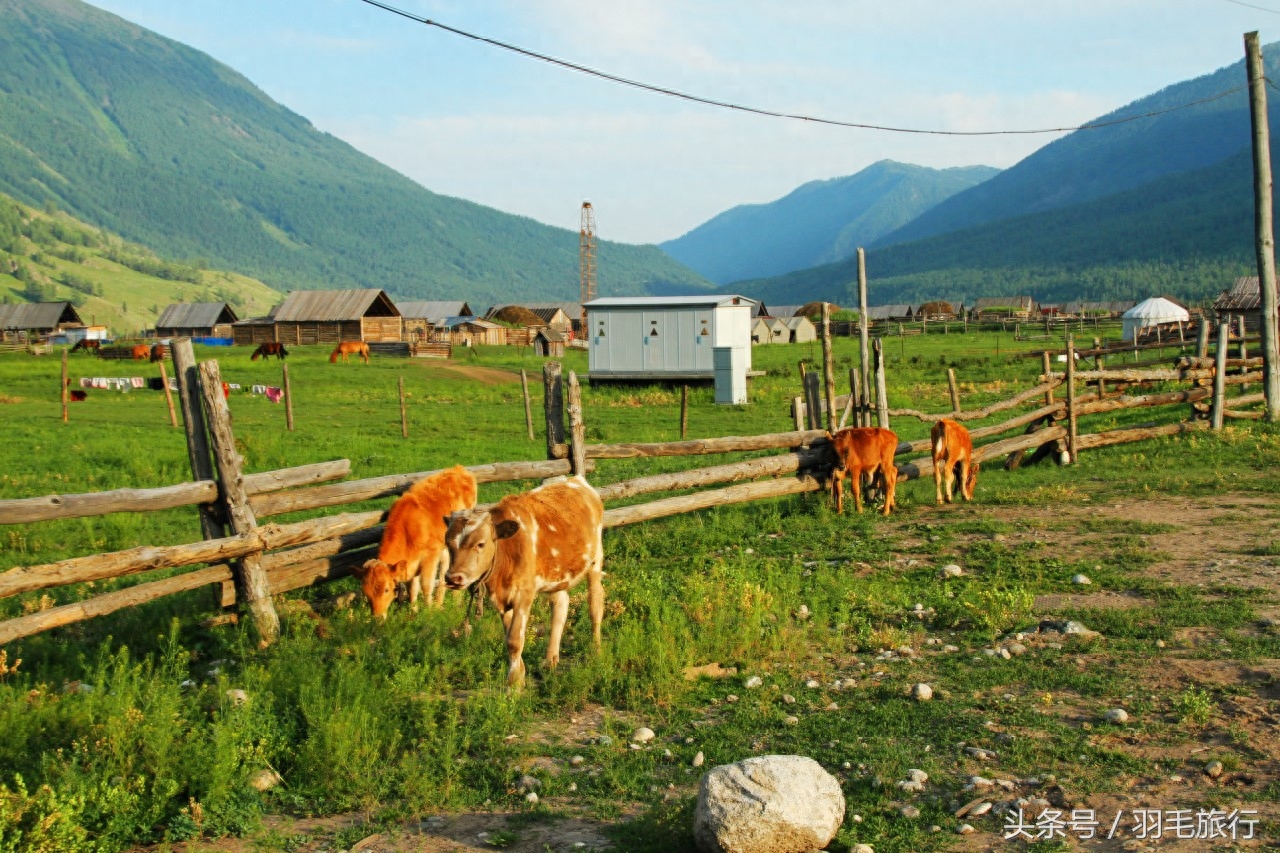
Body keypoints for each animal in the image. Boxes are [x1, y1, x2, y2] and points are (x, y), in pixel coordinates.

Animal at [353, 461, 478, 614]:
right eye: (366, 592)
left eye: (386, 590)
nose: (377, 616)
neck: (408, 528)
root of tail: (458, 468)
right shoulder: (411, 562)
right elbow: (412, 589)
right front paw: (414, 611)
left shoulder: (430, 556)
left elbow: (426, 585)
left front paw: (428, 611)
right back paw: (440, 601)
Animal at [445, 473, 604, 686]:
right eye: (448, 544)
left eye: (480, 544)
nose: (453, 577)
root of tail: (575, 480)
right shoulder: (500, 598)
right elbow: (509, 638)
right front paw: (519, 674)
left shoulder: (523, 594)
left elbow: (514, 639)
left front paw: (513, 683)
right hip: (557, 573)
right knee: (560, 605)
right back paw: (550, 660)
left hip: (595, 562)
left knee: (595, 605)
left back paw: (596, 651)